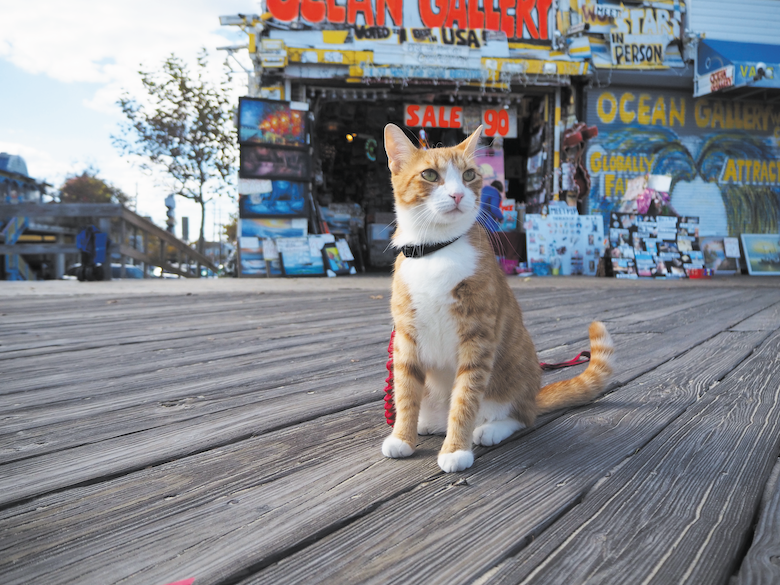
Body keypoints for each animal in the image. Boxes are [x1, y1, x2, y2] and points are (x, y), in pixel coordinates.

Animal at [380, 122, 612, 470]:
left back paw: (491, 428)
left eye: (469, 175)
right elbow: (406, 391)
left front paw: (455, 450)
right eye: (430, 175)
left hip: (516, 375)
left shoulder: (477, 336)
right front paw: (402, 437)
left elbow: (465, 397)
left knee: (522, 416)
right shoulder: (407, 336)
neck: (436, 251)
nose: (458, 194)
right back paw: (429, 422)